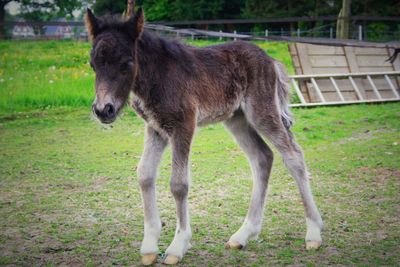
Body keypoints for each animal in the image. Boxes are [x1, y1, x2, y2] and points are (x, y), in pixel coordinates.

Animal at [84, 7, 322, 266]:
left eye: (126, 63)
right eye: (93, 64)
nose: (103, 110)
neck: (159, 75)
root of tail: (270, 60)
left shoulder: (183, 125)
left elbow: (179, 184)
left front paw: (177, 246)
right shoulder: (156, 128)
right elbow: (145, 175)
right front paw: (149, 246)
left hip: (261, 112)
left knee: (293, 156)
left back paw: (313, 234)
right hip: (237, 119)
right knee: (262, 157)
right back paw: (243, 234)